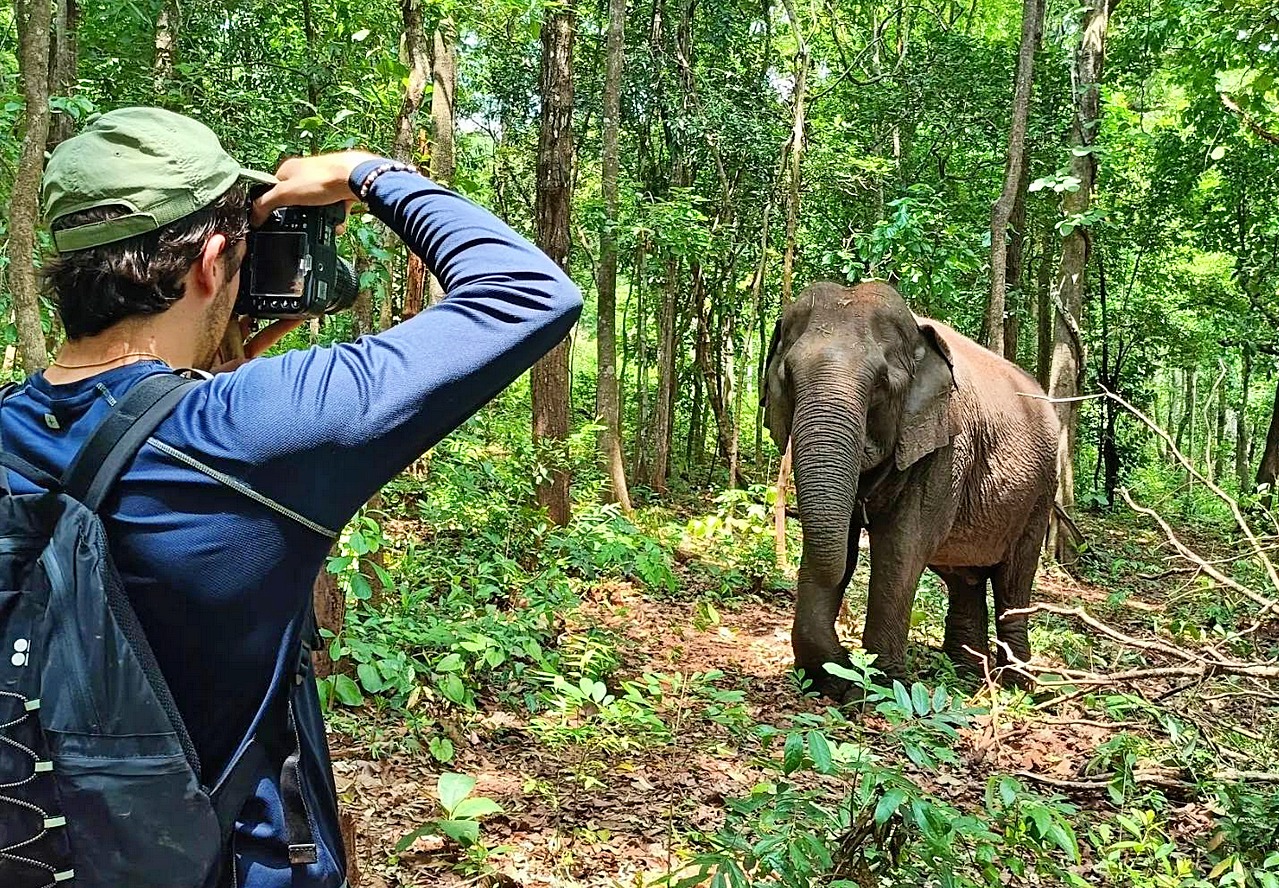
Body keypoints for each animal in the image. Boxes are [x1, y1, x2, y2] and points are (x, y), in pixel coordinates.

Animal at [763, 280, 1060, 700]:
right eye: (787, 377)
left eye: (881, 385)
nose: (846, 664)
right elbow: (841, 543)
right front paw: (833, 681)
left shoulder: (946, 445)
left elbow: (903, 546)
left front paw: (882, 688)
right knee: (964, 579)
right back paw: (965, 673)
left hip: (1040, 494)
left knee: (1013, 579)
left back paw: (1017, 686)